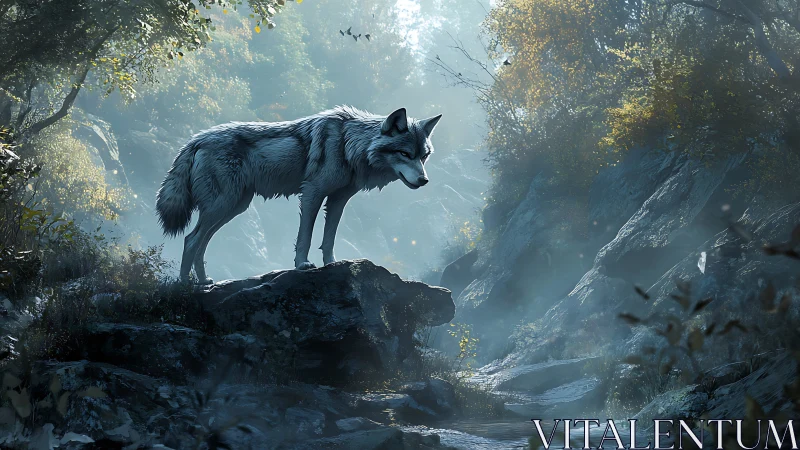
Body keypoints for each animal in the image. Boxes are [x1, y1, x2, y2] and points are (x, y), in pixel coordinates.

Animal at [155, 106, 442, 284]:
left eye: (424, 156)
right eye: (405, 154)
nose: (425, 181)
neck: (349, 145)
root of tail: (195, 139)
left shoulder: (338, 200)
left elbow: (329, 239)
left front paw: (332, 264)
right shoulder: (312, 193)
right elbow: (305, 237)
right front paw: (302, 265)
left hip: (233, 207)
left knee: (201, 242)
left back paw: (204, 281)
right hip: (223, 206)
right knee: (191, 239)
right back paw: (186, 284)